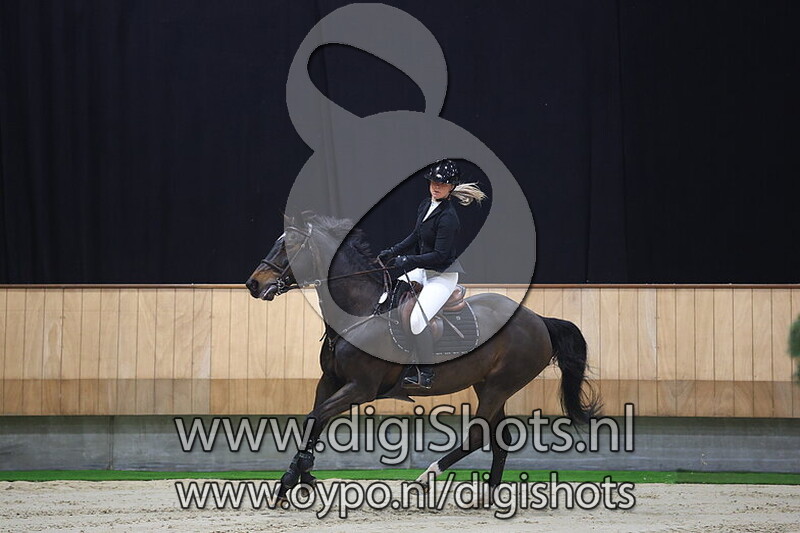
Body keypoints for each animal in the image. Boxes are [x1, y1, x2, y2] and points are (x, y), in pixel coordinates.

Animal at [245, 211, 600, 498]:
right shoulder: (330, 380)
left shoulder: (361, 388)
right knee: (500, 438)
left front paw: (292, 478)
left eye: (289, 246)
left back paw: (425, 479)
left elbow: (315, 417)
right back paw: (488, 496)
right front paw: (301, 475)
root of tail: (538, 319)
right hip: (488, 385)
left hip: (501, 385)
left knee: (476, 436)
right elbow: (313, 420)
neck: (360, 312)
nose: (253, 284)